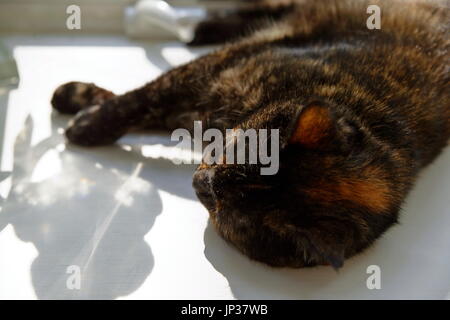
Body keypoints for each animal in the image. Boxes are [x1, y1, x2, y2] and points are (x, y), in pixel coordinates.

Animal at [50, 0, 450, 268]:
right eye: (241, 149)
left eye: (228, 209)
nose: (199, 182)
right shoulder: (222, 65)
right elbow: (143, 98)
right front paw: (83, 116)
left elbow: (150, 106)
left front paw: (85, 112)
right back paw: (200, 28)